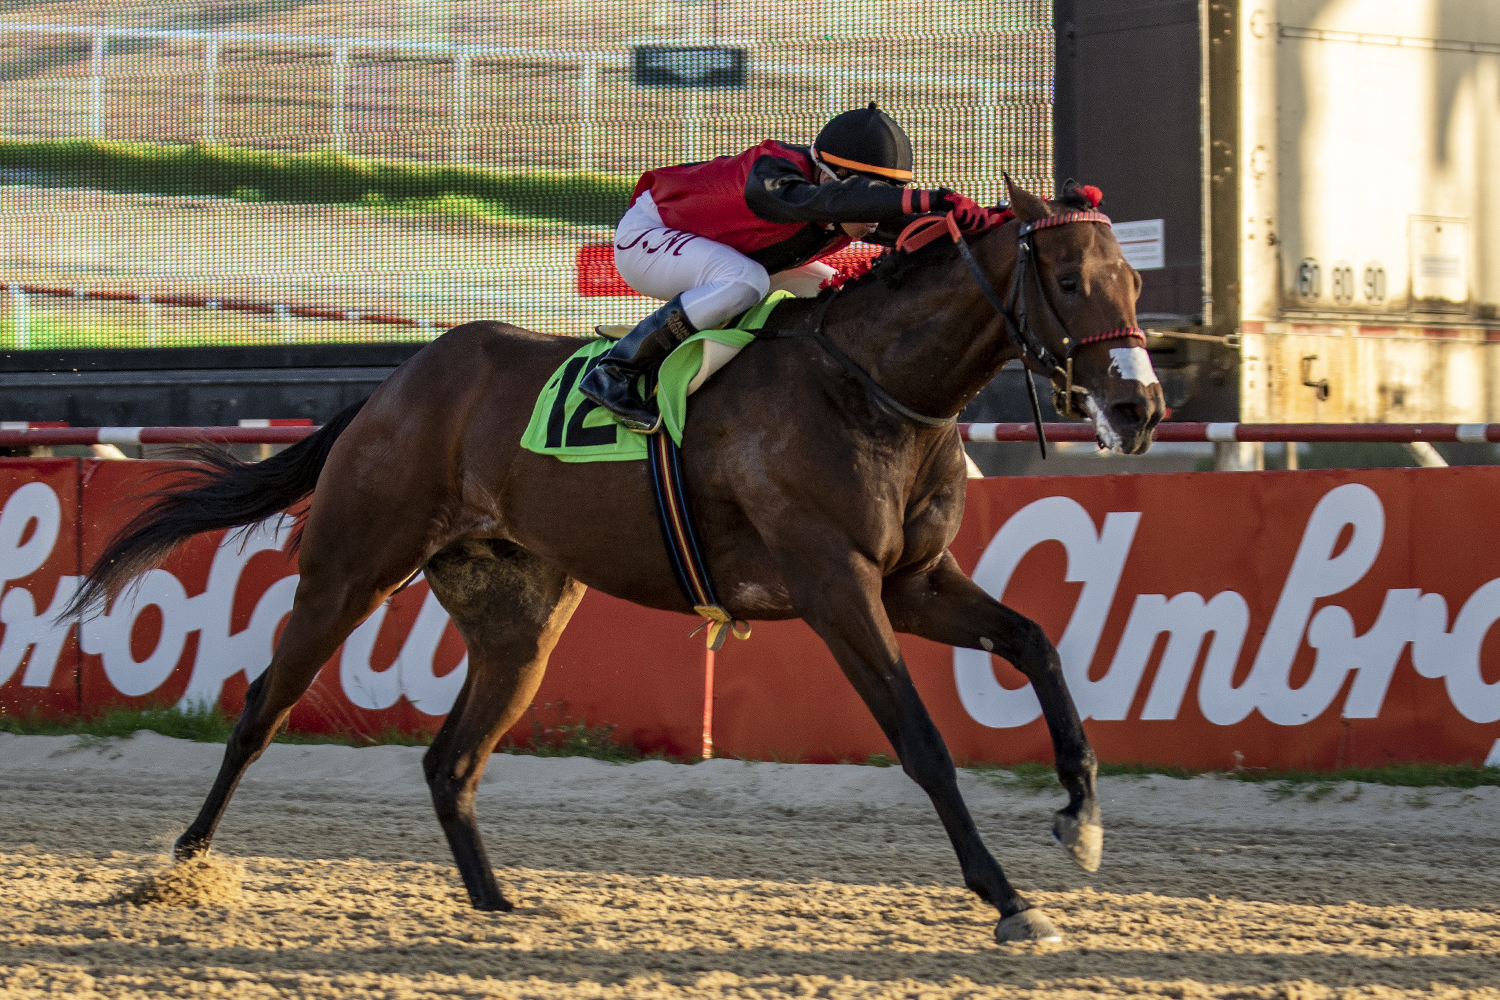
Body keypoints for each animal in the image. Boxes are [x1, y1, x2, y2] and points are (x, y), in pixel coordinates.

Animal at [70, 177, 1163, 944]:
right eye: (1070, 283)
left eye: (1135, 283)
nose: (1140, 405)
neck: (867, 385)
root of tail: (392, 387)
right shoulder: (835, 585)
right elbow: (923, 740)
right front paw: (1009, 897)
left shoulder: (914, 584)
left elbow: (1037, 641)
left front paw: (1081, 819)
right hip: (348, 571)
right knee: (262, 710)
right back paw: (179, 870)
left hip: (519, 622)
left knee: (449, 759)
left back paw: (499, 904)